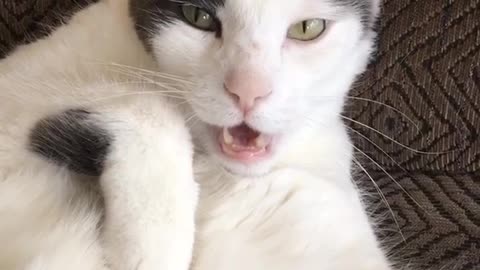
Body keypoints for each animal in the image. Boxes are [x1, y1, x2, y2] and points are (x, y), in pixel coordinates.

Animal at [0, 0, 394, 268]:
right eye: (198, 16)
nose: (247, 90)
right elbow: (151, 109)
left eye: (308, 28)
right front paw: (153, 248)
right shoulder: (19, 93)